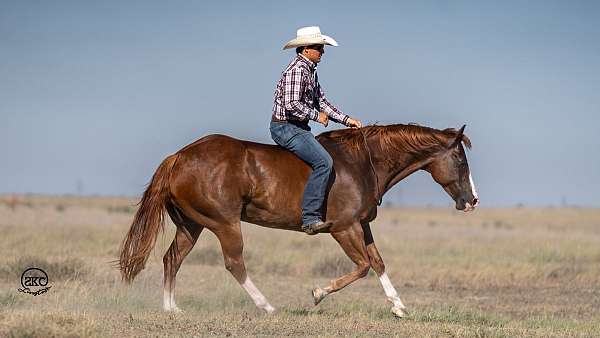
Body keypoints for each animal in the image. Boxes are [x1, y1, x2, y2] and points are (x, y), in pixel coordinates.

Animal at [117, 123, 478, 316]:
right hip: (224, 224)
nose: (472, 201)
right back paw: (267, 307)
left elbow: (377, 263)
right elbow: (362, 266)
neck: (362, 163)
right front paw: (318, 293)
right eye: (460, 160)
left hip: (192, 224)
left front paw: (399, 307)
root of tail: (178, 157)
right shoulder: (343, 228)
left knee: (171, 259)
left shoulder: (362, 225)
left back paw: (171, 308)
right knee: (234, 264)